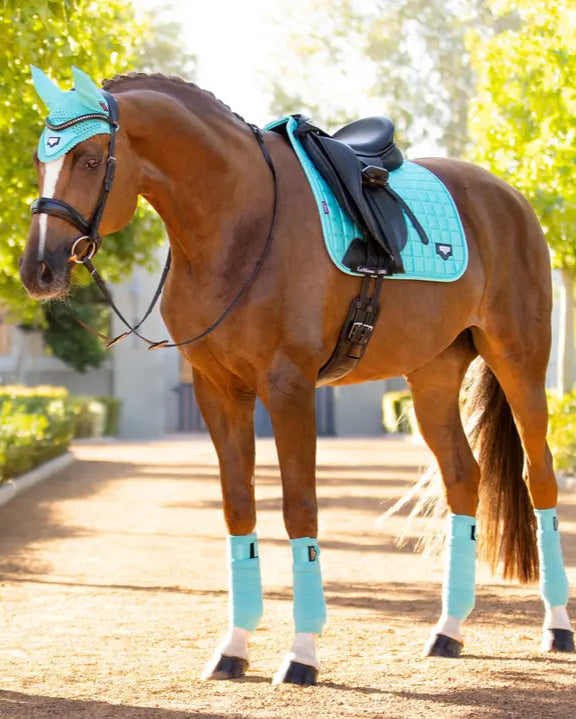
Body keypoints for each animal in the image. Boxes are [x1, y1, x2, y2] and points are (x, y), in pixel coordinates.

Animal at [20, 66, 574, 686]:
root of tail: (509, 197)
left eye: (91, 158)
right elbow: (239, 508)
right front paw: (234, 647)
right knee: (462, 478)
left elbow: (299, 507)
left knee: (540, 478)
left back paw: (556, 626)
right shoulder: (218, 390)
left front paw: (302, 653)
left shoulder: (289, 387)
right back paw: (448, 631)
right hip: (432, 375)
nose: (39, 269)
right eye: (39, 159)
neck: (236, 219)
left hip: (519, 363)